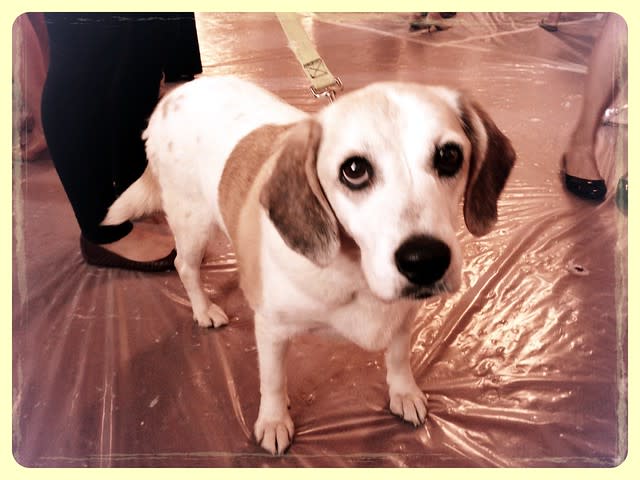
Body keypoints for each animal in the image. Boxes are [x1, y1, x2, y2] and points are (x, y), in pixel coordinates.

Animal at [102, 75, 516, 454]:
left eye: (449, 156)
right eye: (354, 170)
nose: (425, 261)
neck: (356, 274)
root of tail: (174, 95)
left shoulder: (403, 319)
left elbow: (398, 358)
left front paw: (404, 392)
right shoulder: (271, 330)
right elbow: (272, 381)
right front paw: (273, 421)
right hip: (192, 225)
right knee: (184, 267)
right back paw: (204, 310)